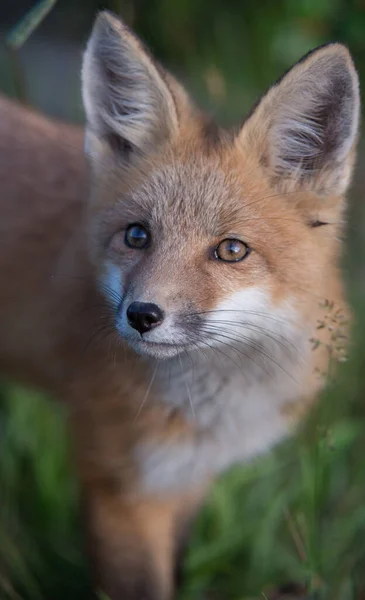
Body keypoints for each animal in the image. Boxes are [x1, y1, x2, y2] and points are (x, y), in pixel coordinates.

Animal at [0, 8, 358, 600]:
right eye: (137, 236)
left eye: (231, 250)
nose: (142, 316)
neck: (214, 408)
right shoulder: (121, 487)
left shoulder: (189, 476)